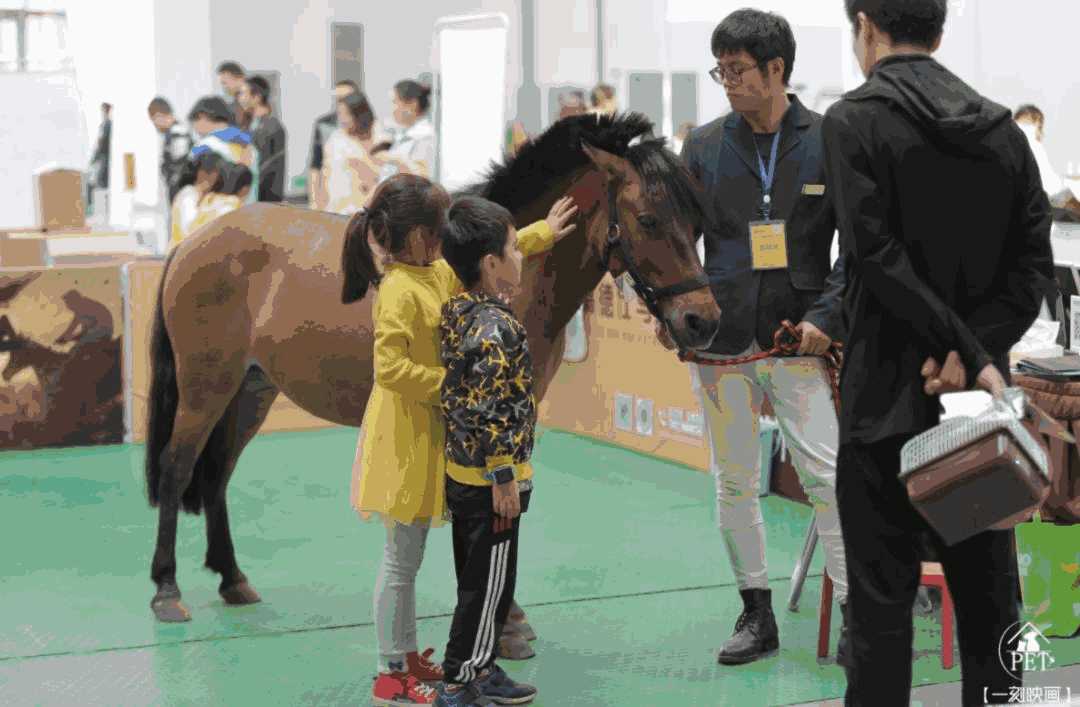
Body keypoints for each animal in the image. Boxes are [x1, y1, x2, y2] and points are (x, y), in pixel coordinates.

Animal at [143, 112, 717, 626]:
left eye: (697, 223)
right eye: (648, 219)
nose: (702, 321)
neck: (507, 274)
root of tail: (193, 242)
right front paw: (506, 620)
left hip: (250, 390)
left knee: (217, 474)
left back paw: (232, 578)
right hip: (205, 386)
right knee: (177, 468)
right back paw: (167, 590)